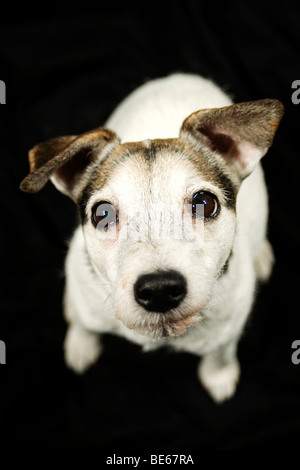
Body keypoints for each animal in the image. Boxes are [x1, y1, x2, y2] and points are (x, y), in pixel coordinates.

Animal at [21, 75, 284, 402]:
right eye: (102, 213)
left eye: (205, 203)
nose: (159, 289)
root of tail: (178, 76)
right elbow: (85, 323)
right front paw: (81, 343)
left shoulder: (231, 320)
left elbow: (221, 351)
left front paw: (218, 374)